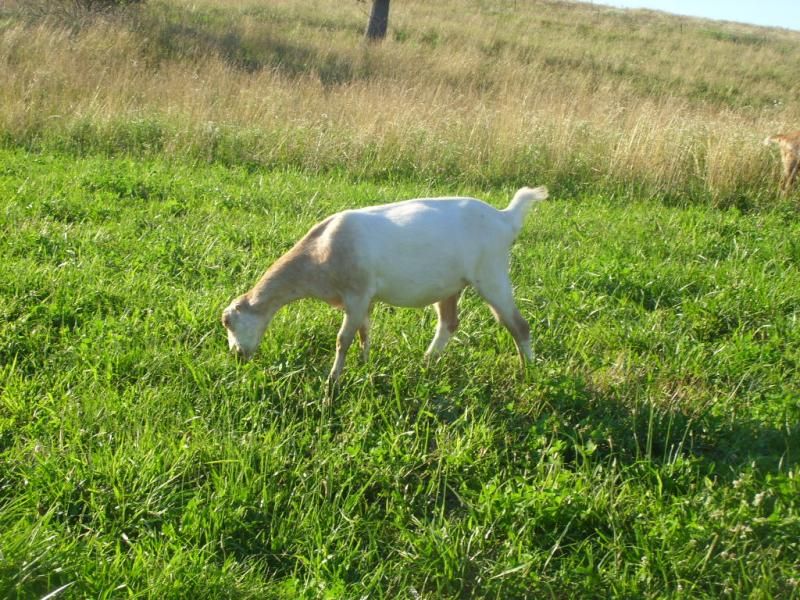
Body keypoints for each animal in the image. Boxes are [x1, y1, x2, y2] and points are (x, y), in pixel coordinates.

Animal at [222, 186, 549, 382]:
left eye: (229, 322)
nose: (237, 356)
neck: (321, 251)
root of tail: (505, 218)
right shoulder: (363, 299)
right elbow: (365, 333)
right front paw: (365, 365)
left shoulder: (356, 294)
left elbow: (343, 339)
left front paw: (332, 382)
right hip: (451, 285)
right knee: (448, 323)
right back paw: (427, 362)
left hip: (492, 272)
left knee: (518, 325)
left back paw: (529, 372)